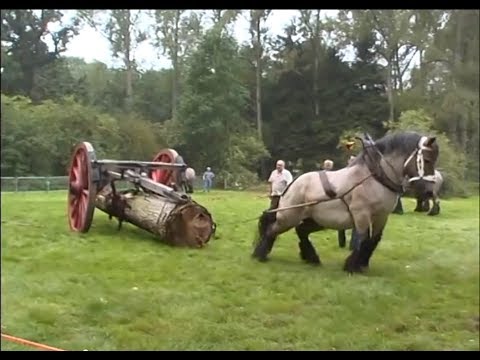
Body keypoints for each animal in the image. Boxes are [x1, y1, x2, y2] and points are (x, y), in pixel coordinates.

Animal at [253, 131, 440, 274]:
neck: (375, 177)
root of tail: (293, 184)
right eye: (427, 160)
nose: (429, 192)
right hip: (289, 216)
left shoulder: (381, 216)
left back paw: (311, 258)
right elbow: (363, 238)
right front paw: (352, 266)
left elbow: (374, 239)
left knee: (301, 231)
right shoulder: (361, 214)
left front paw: (362, 264)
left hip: (317, 220)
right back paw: (260, 254)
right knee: (272, 229)